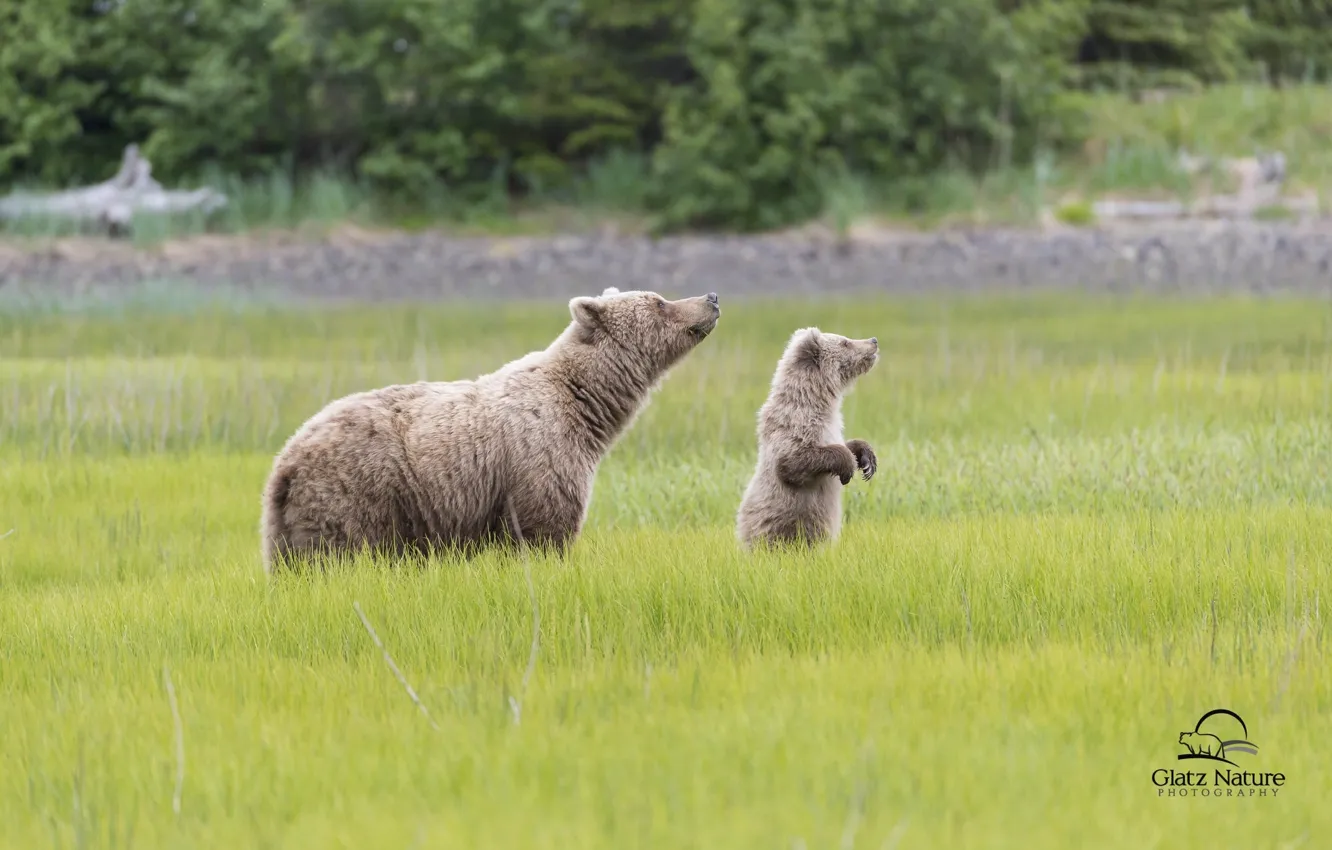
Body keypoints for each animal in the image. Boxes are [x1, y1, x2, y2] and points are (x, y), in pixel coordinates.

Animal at [260, 286, 721, 572]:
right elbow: (544, 530)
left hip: (288, 525)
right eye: (659, 302)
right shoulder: (539, 459)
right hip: (357, 493)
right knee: (338, 558)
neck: (587, 406)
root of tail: (286, 458)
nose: (712, 298)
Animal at [736, 327, 879, 550]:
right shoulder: (796, 423)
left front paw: (866, 459)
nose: (873, 340)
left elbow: (843, 443)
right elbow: (793, 461)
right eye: (845, 342)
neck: (816, 398)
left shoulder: (831, 427)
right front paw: (847, 468)